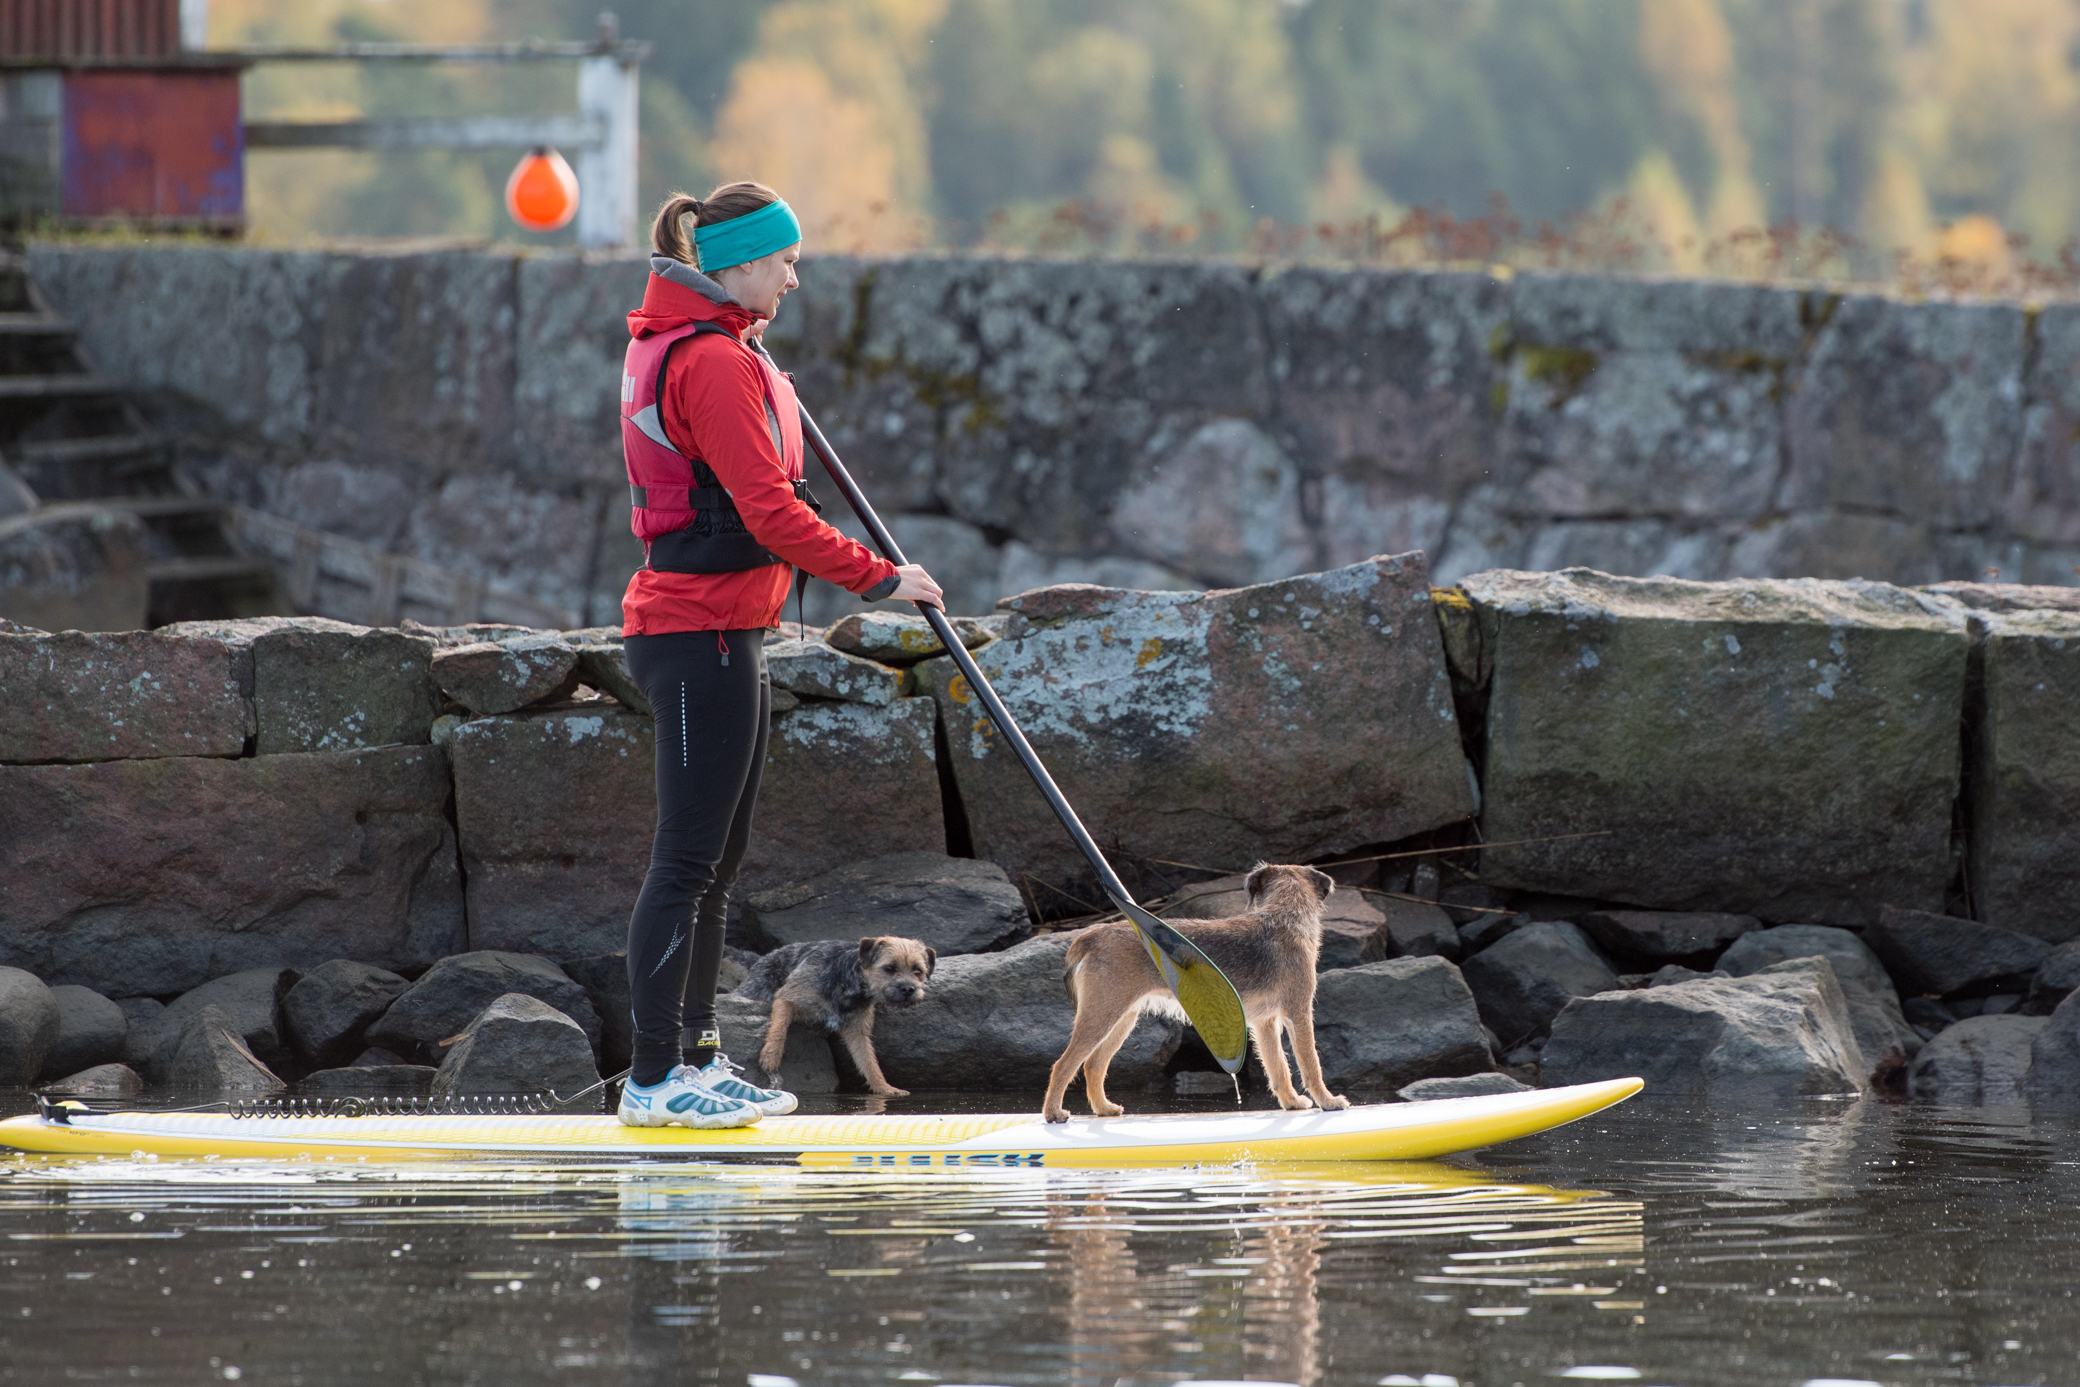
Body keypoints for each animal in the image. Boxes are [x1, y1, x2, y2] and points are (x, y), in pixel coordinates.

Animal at [736, 939, 940, 1097]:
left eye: (917, 970)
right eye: (889, 968)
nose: (908, 989)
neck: (847, 982)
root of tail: (762, 958)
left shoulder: (857, 1031)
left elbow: (868, 1061)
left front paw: (884, 1087)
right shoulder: (787, 997)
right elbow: (779, 1029)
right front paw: (771, 1058)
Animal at [1040, 860, 1347, 1122]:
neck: (1284, 917)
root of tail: (1090, 936)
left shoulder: (1265, 1023)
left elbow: (1277, 1066)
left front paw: (1291, 1102)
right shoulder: (1299, 1012)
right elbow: (1310, 1062)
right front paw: (1328, 1101)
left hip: (1122, 1018)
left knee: (1093, 1064)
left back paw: (1103, 1108)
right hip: (1101, 1014)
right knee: (1064, 1063)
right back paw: (1053, 1112)